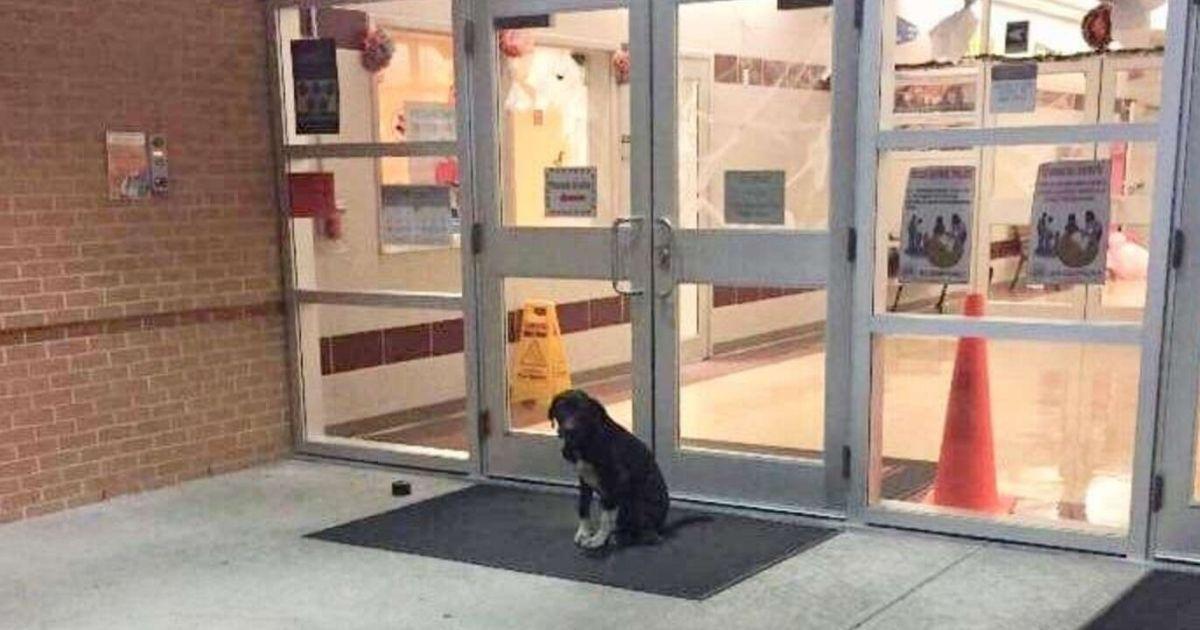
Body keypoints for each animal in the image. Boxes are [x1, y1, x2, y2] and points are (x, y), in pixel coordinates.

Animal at [552, 391, 676, 547]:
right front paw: (584, 532)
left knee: (648, 535)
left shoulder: (618, 480)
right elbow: (583, 506)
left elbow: (606, 516)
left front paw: (598, 539)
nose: (568, 430)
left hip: (634, 502)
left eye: (583, 411)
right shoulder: (584, 480)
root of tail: (661, 526)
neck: (587, 440)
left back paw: (622, 537)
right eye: (561, 409)